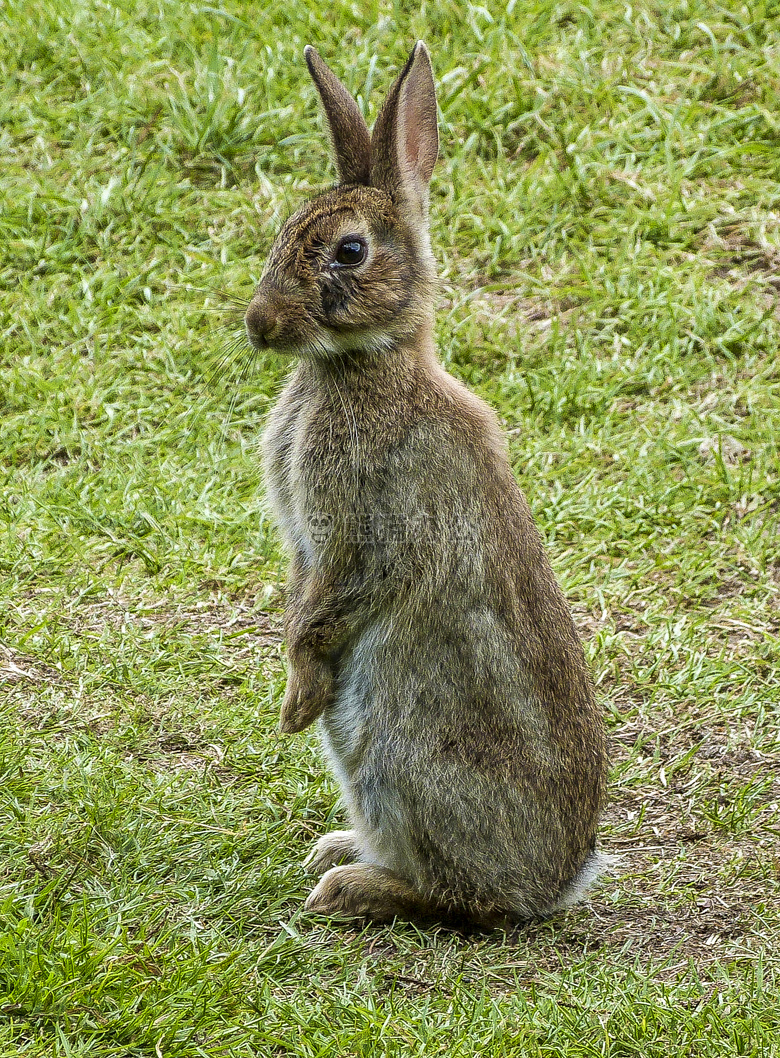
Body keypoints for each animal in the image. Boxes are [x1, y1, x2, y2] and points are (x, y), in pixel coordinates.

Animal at [244, 41, 609, 926]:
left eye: (348, 252)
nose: (258, 324)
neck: (363, 366)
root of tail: (560, 881)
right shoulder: (306, 546)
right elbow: (300, 598)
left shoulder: (365, 529)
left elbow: (328, 610)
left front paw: (295, 701)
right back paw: (339, 851)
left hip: (396, 755)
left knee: (462, 900)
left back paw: (351, 884)